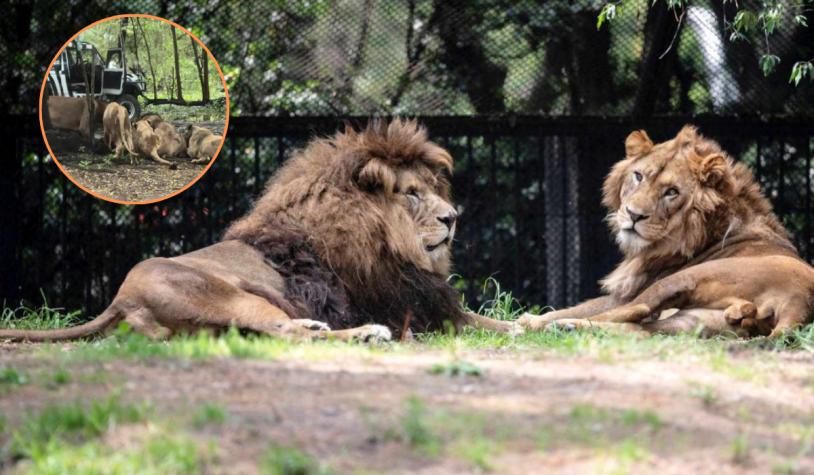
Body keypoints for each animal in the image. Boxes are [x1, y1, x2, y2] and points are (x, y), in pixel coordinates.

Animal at [0, 119, 512, 343]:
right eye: (410, 193)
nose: (452, 216)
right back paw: (362, 334)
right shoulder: (404, 303)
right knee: (291, 332)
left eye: (433, 189)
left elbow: (500, 320)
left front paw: (533, 322)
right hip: (233, 296)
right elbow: (487, 323)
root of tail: (119, 301)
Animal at [518, 125, 814, 338]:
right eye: (638, 176)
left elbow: (581, 306)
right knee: (638, 330)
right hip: (694, 320)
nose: (634, 215)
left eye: (671, 192)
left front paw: (529, 319)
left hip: (681, 281)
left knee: (635, 310)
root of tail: (799, 302)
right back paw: (567, 328)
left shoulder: (631, 290)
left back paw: (537, 326)